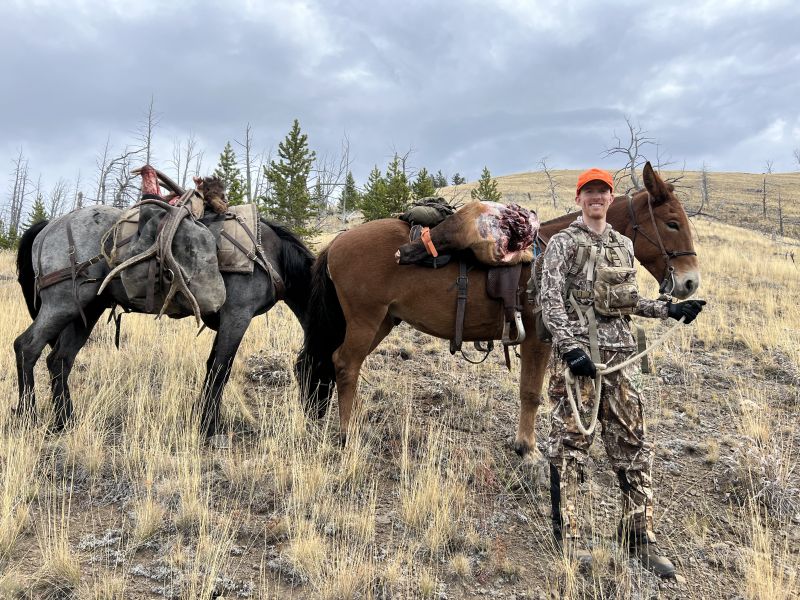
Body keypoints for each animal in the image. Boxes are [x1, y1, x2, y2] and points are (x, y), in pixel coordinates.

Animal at [14, 182, 315, 439]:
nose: (315, 416)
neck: (272, 256)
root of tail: (48, 226)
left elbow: (212, 366)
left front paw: (204, 418)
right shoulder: (238, 314)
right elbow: (221, 368)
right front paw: (209, 427)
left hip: (86, 309)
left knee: (60, 359)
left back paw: (65, 422)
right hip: (61, 303)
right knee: (27, 347)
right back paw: (28, 417)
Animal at [295, 162, 700, 458]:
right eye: (672, 223)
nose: (689, 283)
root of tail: (338, 242)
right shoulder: (538, 339)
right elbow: (531, 393)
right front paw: (527, 448)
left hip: (382, 320)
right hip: (366, 319)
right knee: (345, 364)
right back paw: (346, 434)